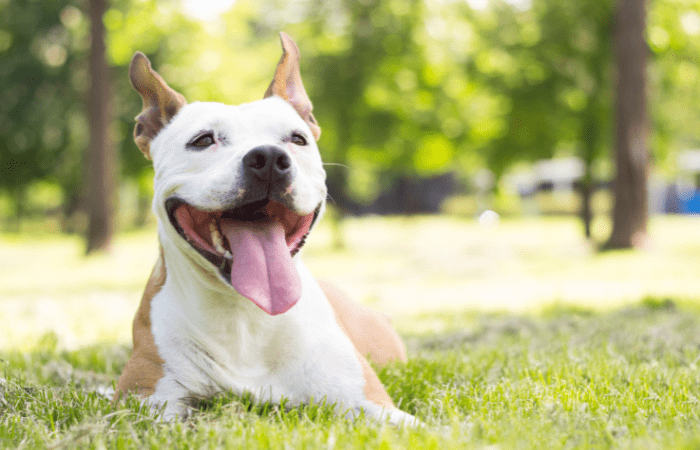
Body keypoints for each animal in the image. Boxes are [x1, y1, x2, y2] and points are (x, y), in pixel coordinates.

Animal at [115, 33, 418, 428]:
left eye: (297, 139)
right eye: (202, 140)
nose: (270, 158)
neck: (246, 314)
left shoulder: (375, 406)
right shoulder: (146, 402)